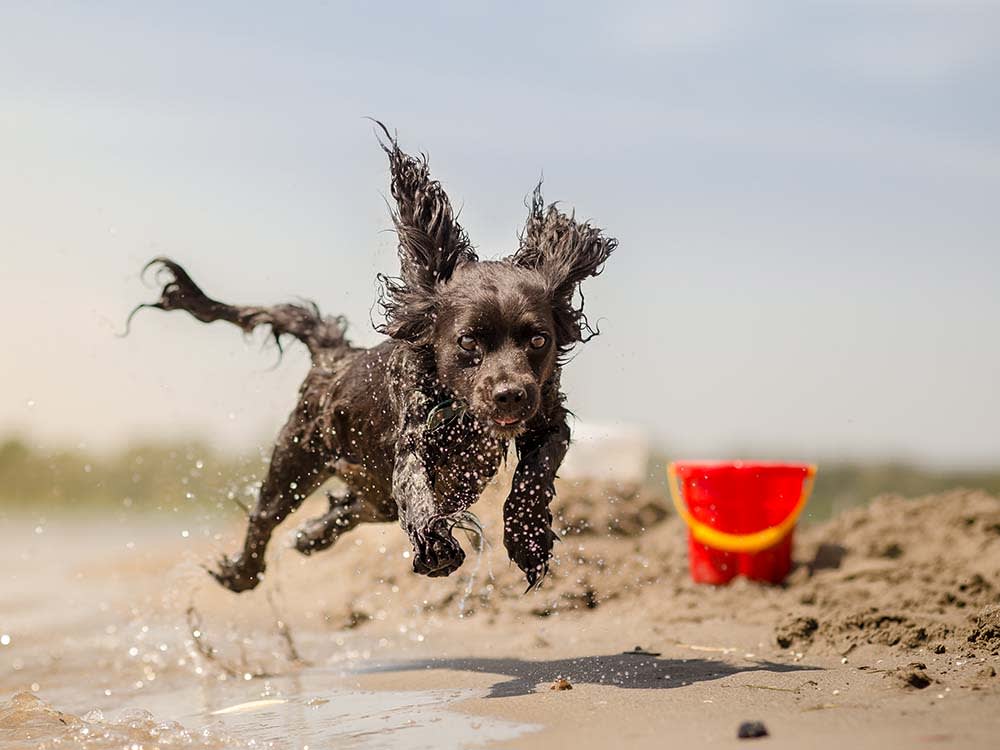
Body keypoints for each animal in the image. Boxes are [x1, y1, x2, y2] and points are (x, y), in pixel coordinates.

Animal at [131, 126, 616, 596]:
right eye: (467, 341)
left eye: (538, 339)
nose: (510, 396)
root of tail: (334, 355)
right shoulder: (414, 435)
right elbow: (416, 486)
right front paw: (437, 546)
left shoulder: (548, 416)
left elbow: (535, 472)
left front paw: (527, 539)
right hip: (297, 455)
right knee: (265, 516)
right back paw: (242, 572)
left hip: (362, 486)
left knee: (354, 505)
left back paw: (313, 535)